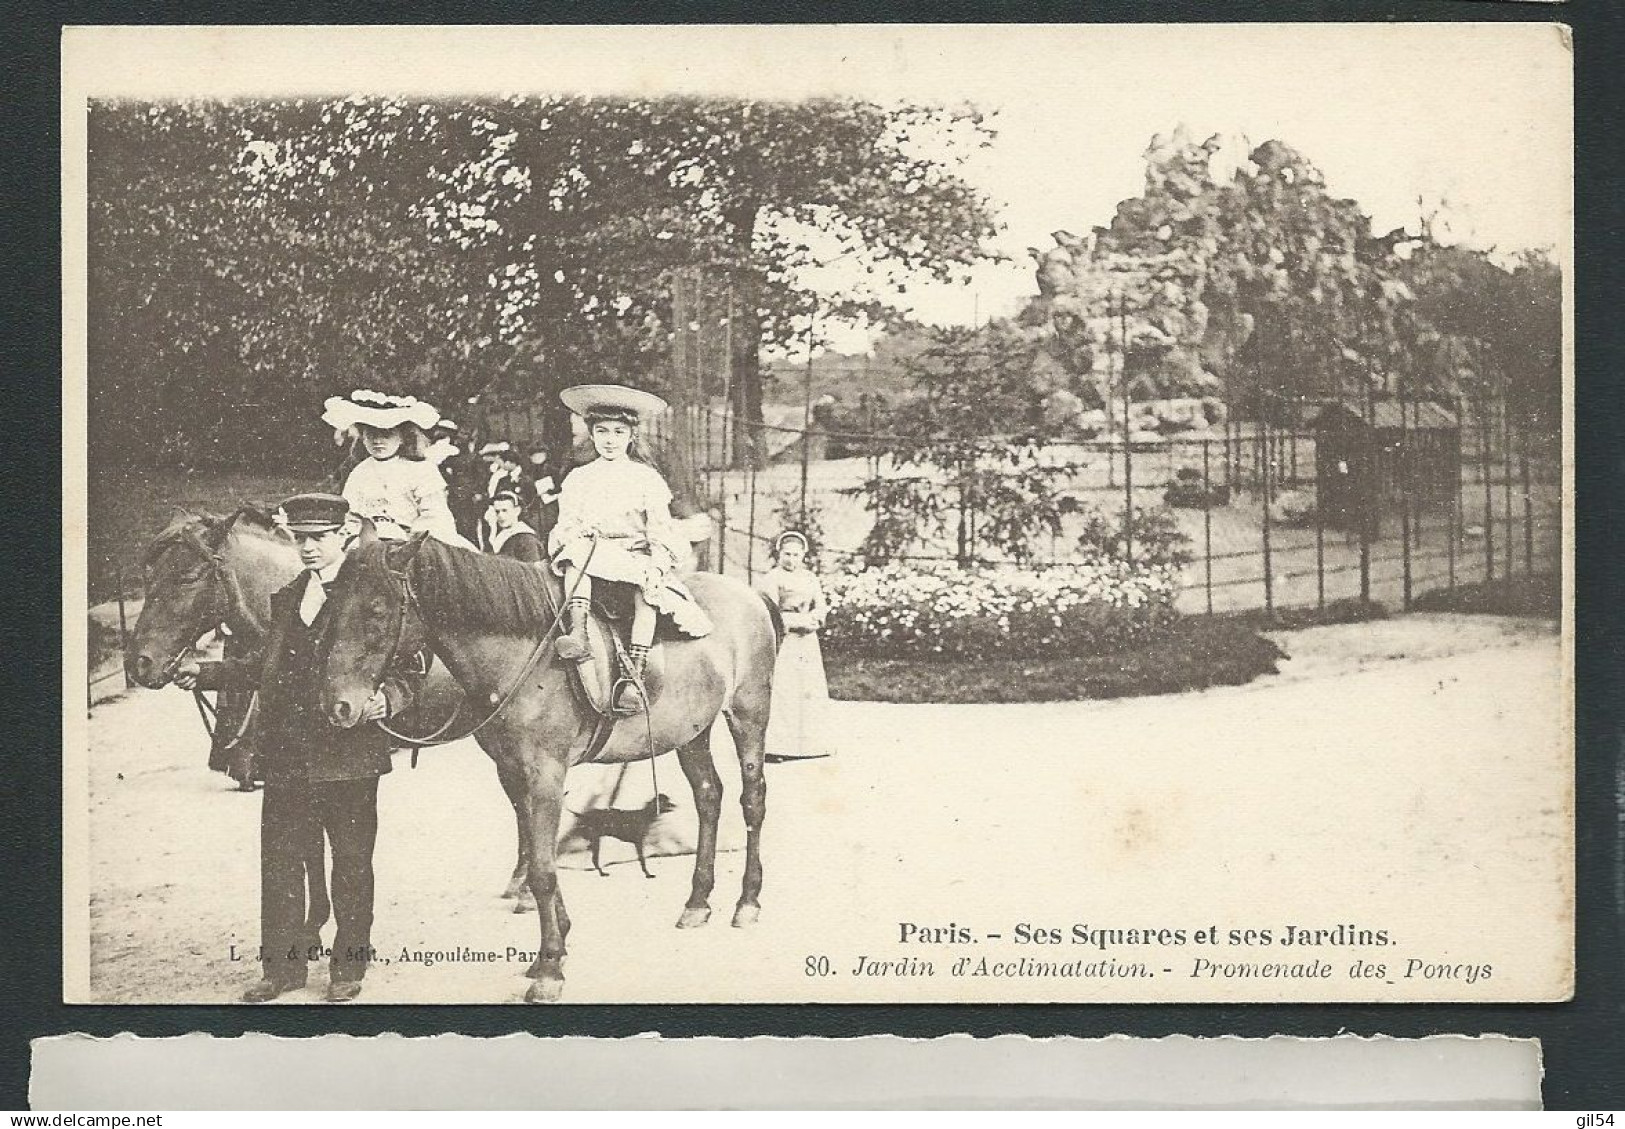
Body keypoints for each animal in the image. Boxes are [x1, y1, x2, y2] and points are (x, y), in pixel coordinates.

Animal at [316, 532, 780, 1000]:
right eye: (332, 601)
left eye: (378, 610)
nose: (338, 706)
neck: (524, 655)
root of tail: (752, 594)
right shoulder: (514, 774)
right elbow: (542, 857)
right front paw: (553, 948)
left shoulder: (546, 776)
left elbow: (542, 869)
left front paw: (551, 970)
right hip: (693, 731)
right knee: (708, 797)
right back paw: (697, 902)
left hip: (748, 714)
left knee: (752, 802)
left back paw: (747, 902)